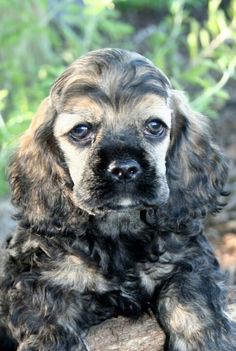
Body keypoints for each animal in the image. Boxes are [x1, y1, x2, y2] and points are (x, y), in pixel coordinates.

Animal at [0, 48, 235, 350]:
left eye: (155, 126)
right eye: (81, 130)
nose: (123, 168)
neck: (118, 229)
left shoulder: (188, 255)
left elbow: (189, 290)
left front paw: (207, 337)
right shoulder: (35, 274)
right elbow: (46, 309)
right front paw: (53, 340)